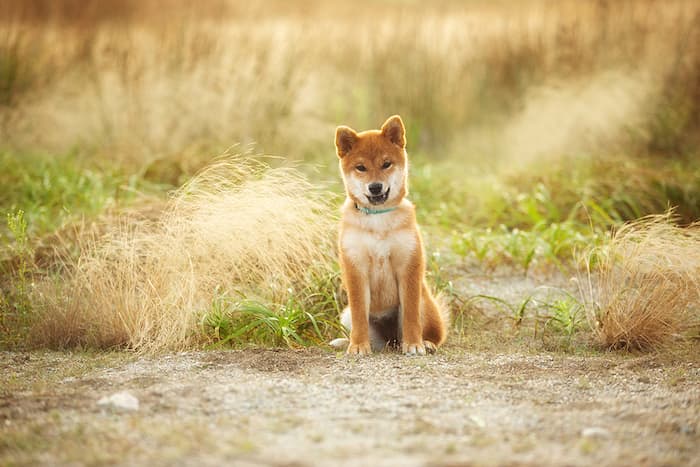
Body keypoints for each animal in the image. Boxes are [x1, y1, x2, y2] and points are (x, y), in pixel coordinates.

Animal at [330, 116, 448, 354]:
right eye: (361, 167)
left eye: (386, 164)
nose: (375, 187)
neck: (378, 219)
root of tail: (391, 340)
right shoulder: (355, 268)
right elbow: (359, 315)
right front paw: (358, 346)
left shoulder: (408, 266)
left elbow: (411, 316)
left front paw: (414, 345)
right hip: (347, 315)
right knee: (370, 335)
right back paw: (348, 342)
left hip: (424, 302)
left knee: (432, 333)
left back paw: (426, 343)